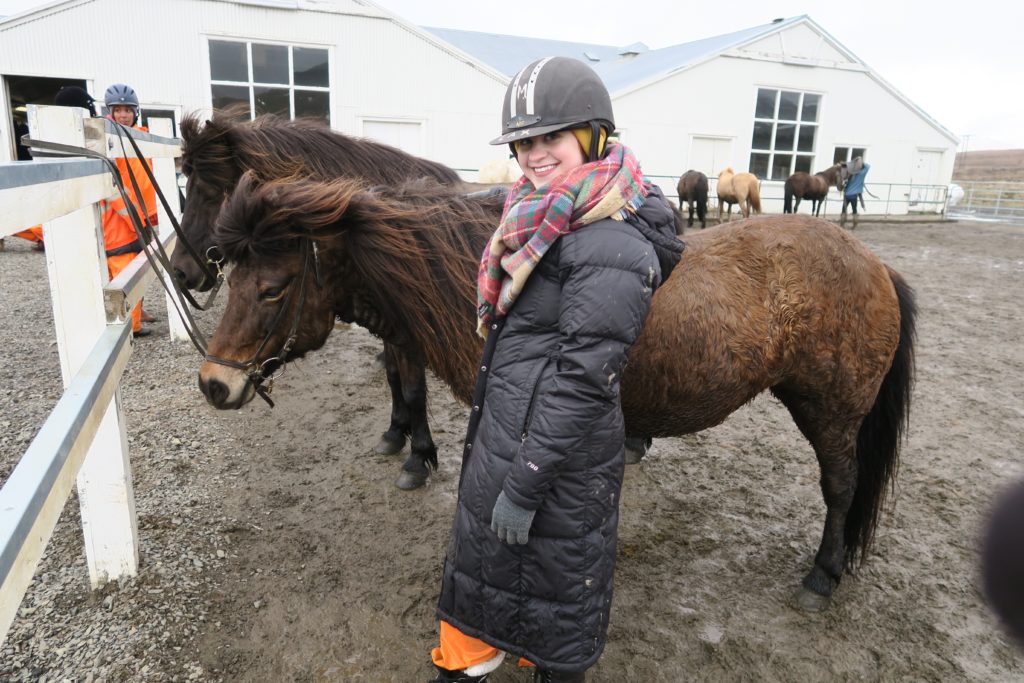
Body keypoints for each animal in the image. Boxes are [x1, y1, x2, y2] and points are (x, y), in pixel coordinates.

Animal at [174, 111, 466, 491]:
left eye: (210, 194)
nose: (179, 271)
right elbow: (393, 377)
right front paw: (394, 433)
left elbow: (414, 389)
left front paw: (418, 458)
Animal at [195, 174, 917, 610]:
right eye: (232, 278)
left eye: (273, 287)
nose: (213, 384)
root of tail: (876, 264)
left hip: (830, 411)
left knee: (841, 488)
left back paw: (822, 576)